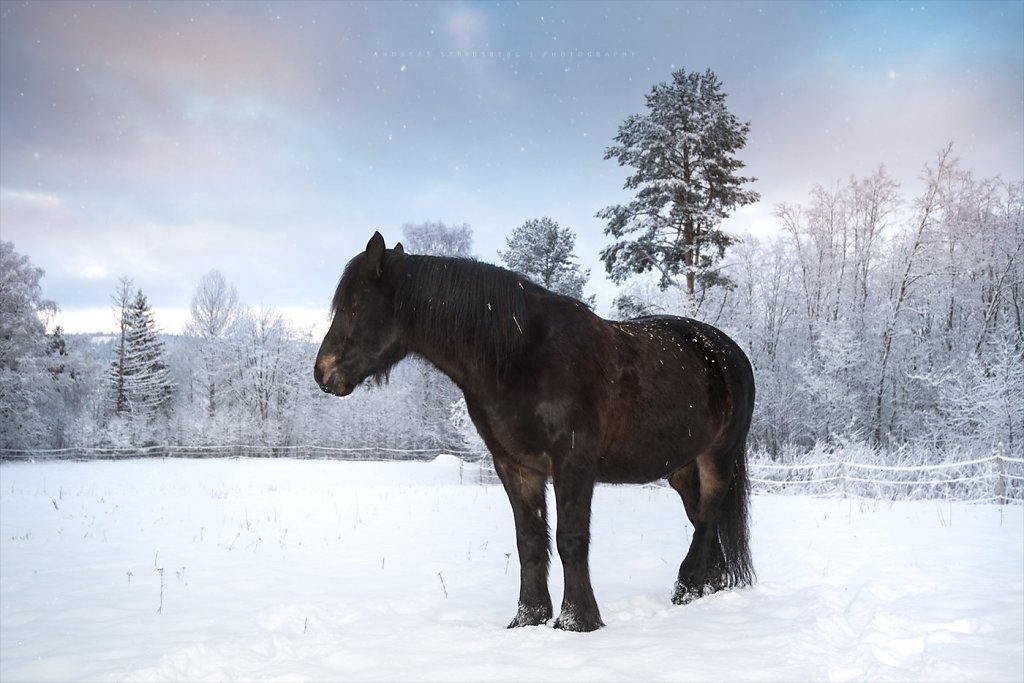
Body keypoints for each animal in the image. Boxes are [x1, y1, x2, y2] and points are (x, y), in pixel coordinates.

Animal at [315, 232, 756, 632]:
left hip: (717, 458)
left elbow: (570, 538)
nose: (323, 372)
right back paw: (708, 586)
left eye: (355, 305)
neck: (523, 354)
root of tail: (728, 350)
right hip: (681, 468)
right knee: (702, 519)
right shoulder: (515, 466)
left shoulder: (572, 462)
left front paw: (578, 621)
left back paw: (687, 586)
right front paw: (529, 618)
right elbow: (529, 542)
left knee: (708, 516)